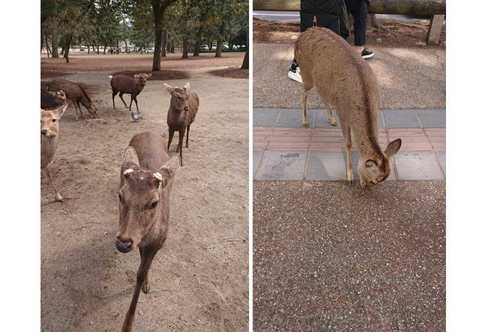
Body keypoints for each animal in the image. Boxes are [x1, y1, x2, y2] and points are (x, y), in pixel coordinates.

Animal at [296, 27, 402, 188]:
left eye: (384, 178)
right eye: (376, 179)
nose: (367, 186)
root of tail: (303, 34)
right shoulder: (343, 113)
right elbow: (348, 143)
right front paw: (350, 176)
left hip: (322, 81)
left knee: (323, 96)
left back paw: (331, 119)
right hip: (305, 71)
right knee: (303, 93)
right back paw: (305, 121)